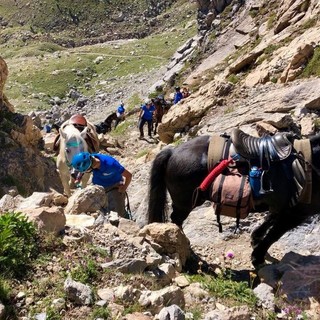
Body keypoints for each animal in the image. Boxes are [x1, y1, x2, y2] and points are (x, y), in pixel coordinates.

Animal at [148, 132, 320, 268]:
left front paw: (255, 239)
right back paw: (186, 248)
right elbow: (274, 234)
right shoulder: (297, 214)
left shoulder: (283, 206)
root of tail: (172, 152)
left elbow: (269, 220)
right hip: (186, 203)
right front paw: (257, 257)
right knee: (176, 220)